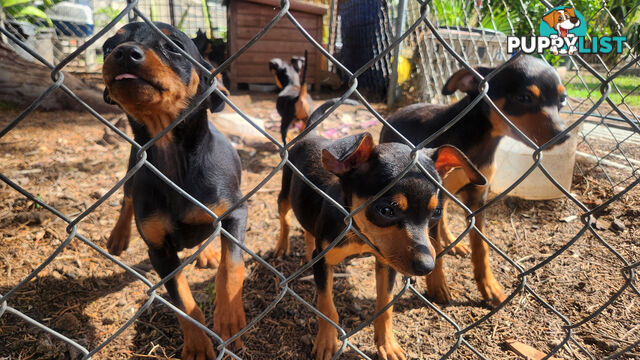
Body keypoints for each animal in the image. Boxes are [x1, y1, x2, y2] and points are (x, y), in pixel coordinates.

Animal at [102, 23, 248, 360]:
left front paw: (230, 319)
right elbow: (183, 302)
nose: (124, 53)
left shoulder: (235, 213)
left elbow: (231, 267)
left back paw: (207, 252)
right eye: (108, 46)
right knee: (127, 200)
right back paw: (118, 236)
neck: (175, 162)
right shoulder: (160, 252)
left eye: (174, 46)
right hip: (132, 167)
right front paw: (197, 345)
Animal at [278, 100, 488, 358]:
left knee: (308, 229)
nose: (427, 266)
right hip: (284, 194)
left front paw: (387, 344)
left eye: (436, 212)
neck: (359, 235)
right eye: (386, 210)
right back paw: (282, 246)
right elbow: (327, 305)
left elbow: (385, 307)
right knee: (285, 219)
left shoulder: (386, 263)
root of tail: (311, 135)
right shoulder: (325, 260)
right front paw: (326, 342)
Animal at [380, 55, 568, 306]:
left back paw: (454, 241)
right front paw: (437, 284)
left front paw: (488, 286)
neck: (481, 142)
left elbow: (481, 246)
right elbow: (434, 245)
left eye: (562, 100)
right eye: (524, 98)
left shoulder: (478, 197)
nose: (564, 134)